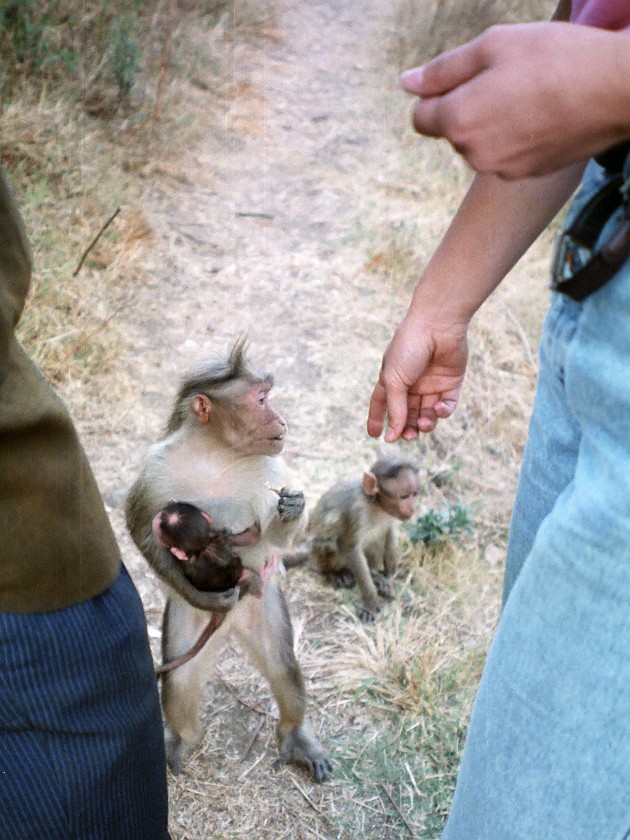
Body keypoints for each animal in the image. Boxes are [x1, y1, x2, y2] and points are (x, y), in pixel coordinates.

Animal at [123, 340, 330, 780]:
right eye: (262, 399)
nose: (282, 420)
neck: (215, 453)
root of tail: (231, 624)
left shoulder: (270, 465)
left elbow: (270, 533)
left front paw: (293, 509)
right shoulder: (155, 468)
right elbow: (140, 529)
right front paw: (203, 593)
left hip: (263, 608)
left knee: (283, 666)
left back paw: (296, 734)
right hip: (192, 623)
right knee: (180, 677)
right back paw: (181, 738)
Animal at [288, 456, 422, 620]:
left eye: (414, 494)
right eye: (404, 497)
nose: (412, 508)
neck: (375, 503)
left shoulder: (390, 515)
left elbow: (390, 535)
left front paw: (391, 577)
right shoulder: (355, 510)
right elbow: (350, 548)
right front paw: (370, 602)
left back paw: (373, 574)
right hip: (318, 553)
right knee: (331, 545)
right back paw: (335, 574)